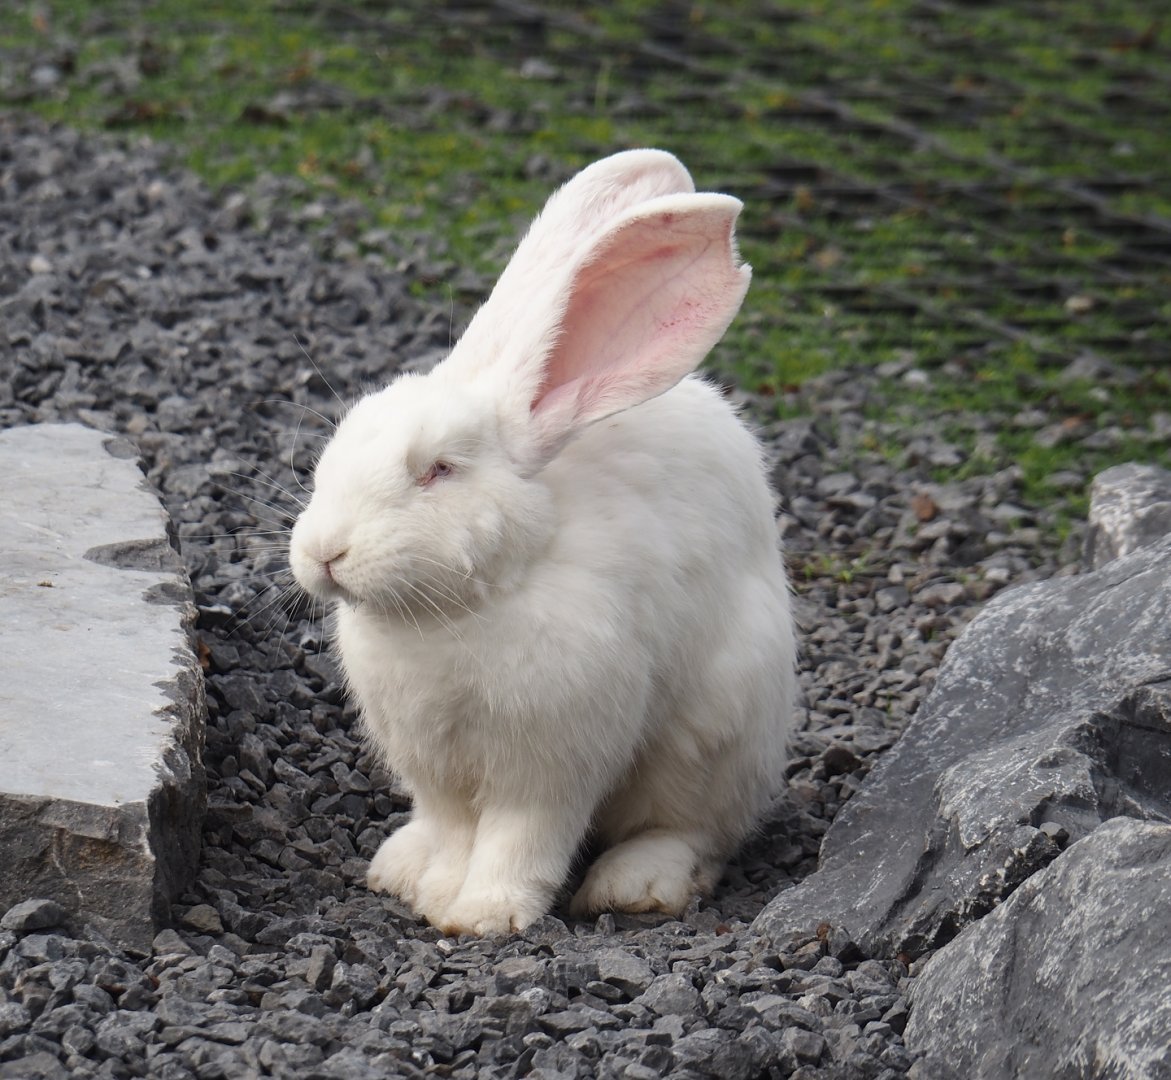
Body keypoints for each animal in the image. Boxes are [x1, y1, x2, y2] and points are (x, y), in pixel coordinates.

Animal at [288, 149, 796, 936]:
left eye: (438, 470)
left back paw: (636, 886)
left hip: (716, 731)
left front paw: (483, 915)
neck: (459, 612)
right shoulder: (435, 767)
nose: (323, 553)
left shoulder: (552, 761)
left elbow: (520, 837)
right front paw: (434, 892)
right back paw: (398, 863)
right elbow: (453, 831)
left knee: (693, 831)